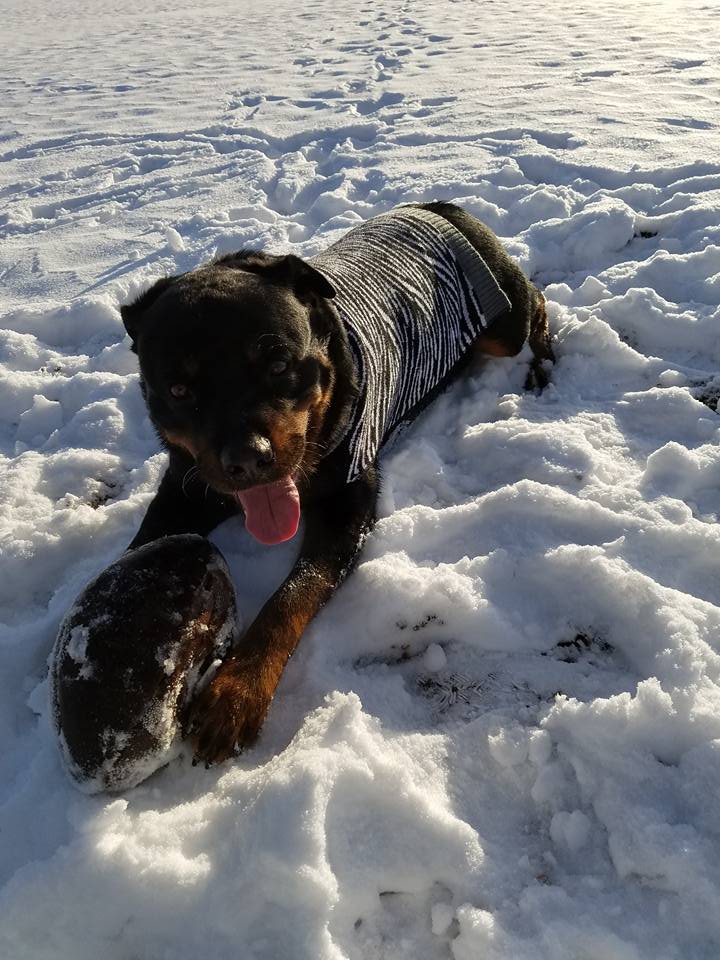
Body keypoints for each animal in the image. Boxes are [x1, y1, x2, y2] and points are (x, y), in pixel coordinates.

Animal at [121, 202, 556, 764]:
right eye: (178, 390)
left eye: (278, 364)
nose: (247, 459)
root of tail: (440, 206)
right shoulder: (183, 485)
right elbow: (137, 550)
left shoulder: (349, 504)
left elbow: (291, 597)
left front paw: (236, 692)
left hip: (504, 325)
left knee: (538, 305)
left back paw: (540, 365)